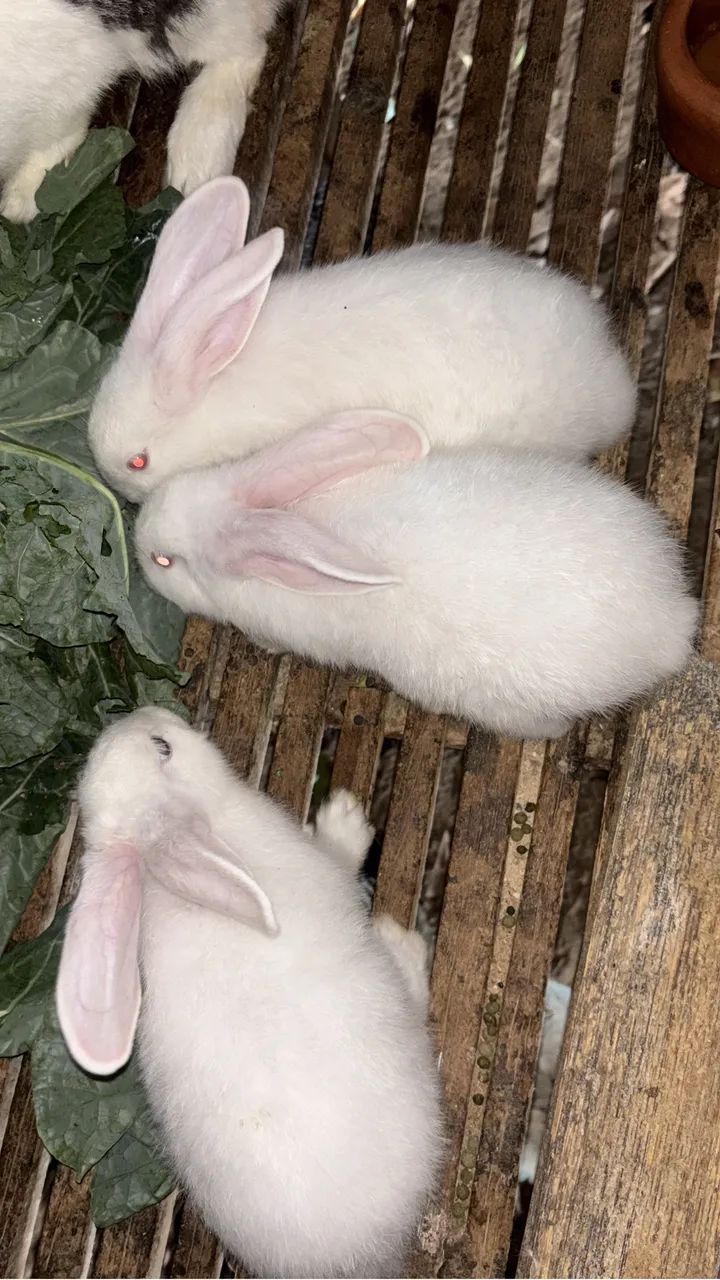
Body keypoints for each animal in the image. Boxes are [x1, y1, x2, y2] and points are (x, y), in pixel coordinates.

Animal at [56, 707, 445, 1279]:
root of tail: (357, 1260)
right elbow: (341, 857)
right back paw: (406, 946)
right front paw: (345, 820)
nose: (151, 711)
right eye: (163, 747)